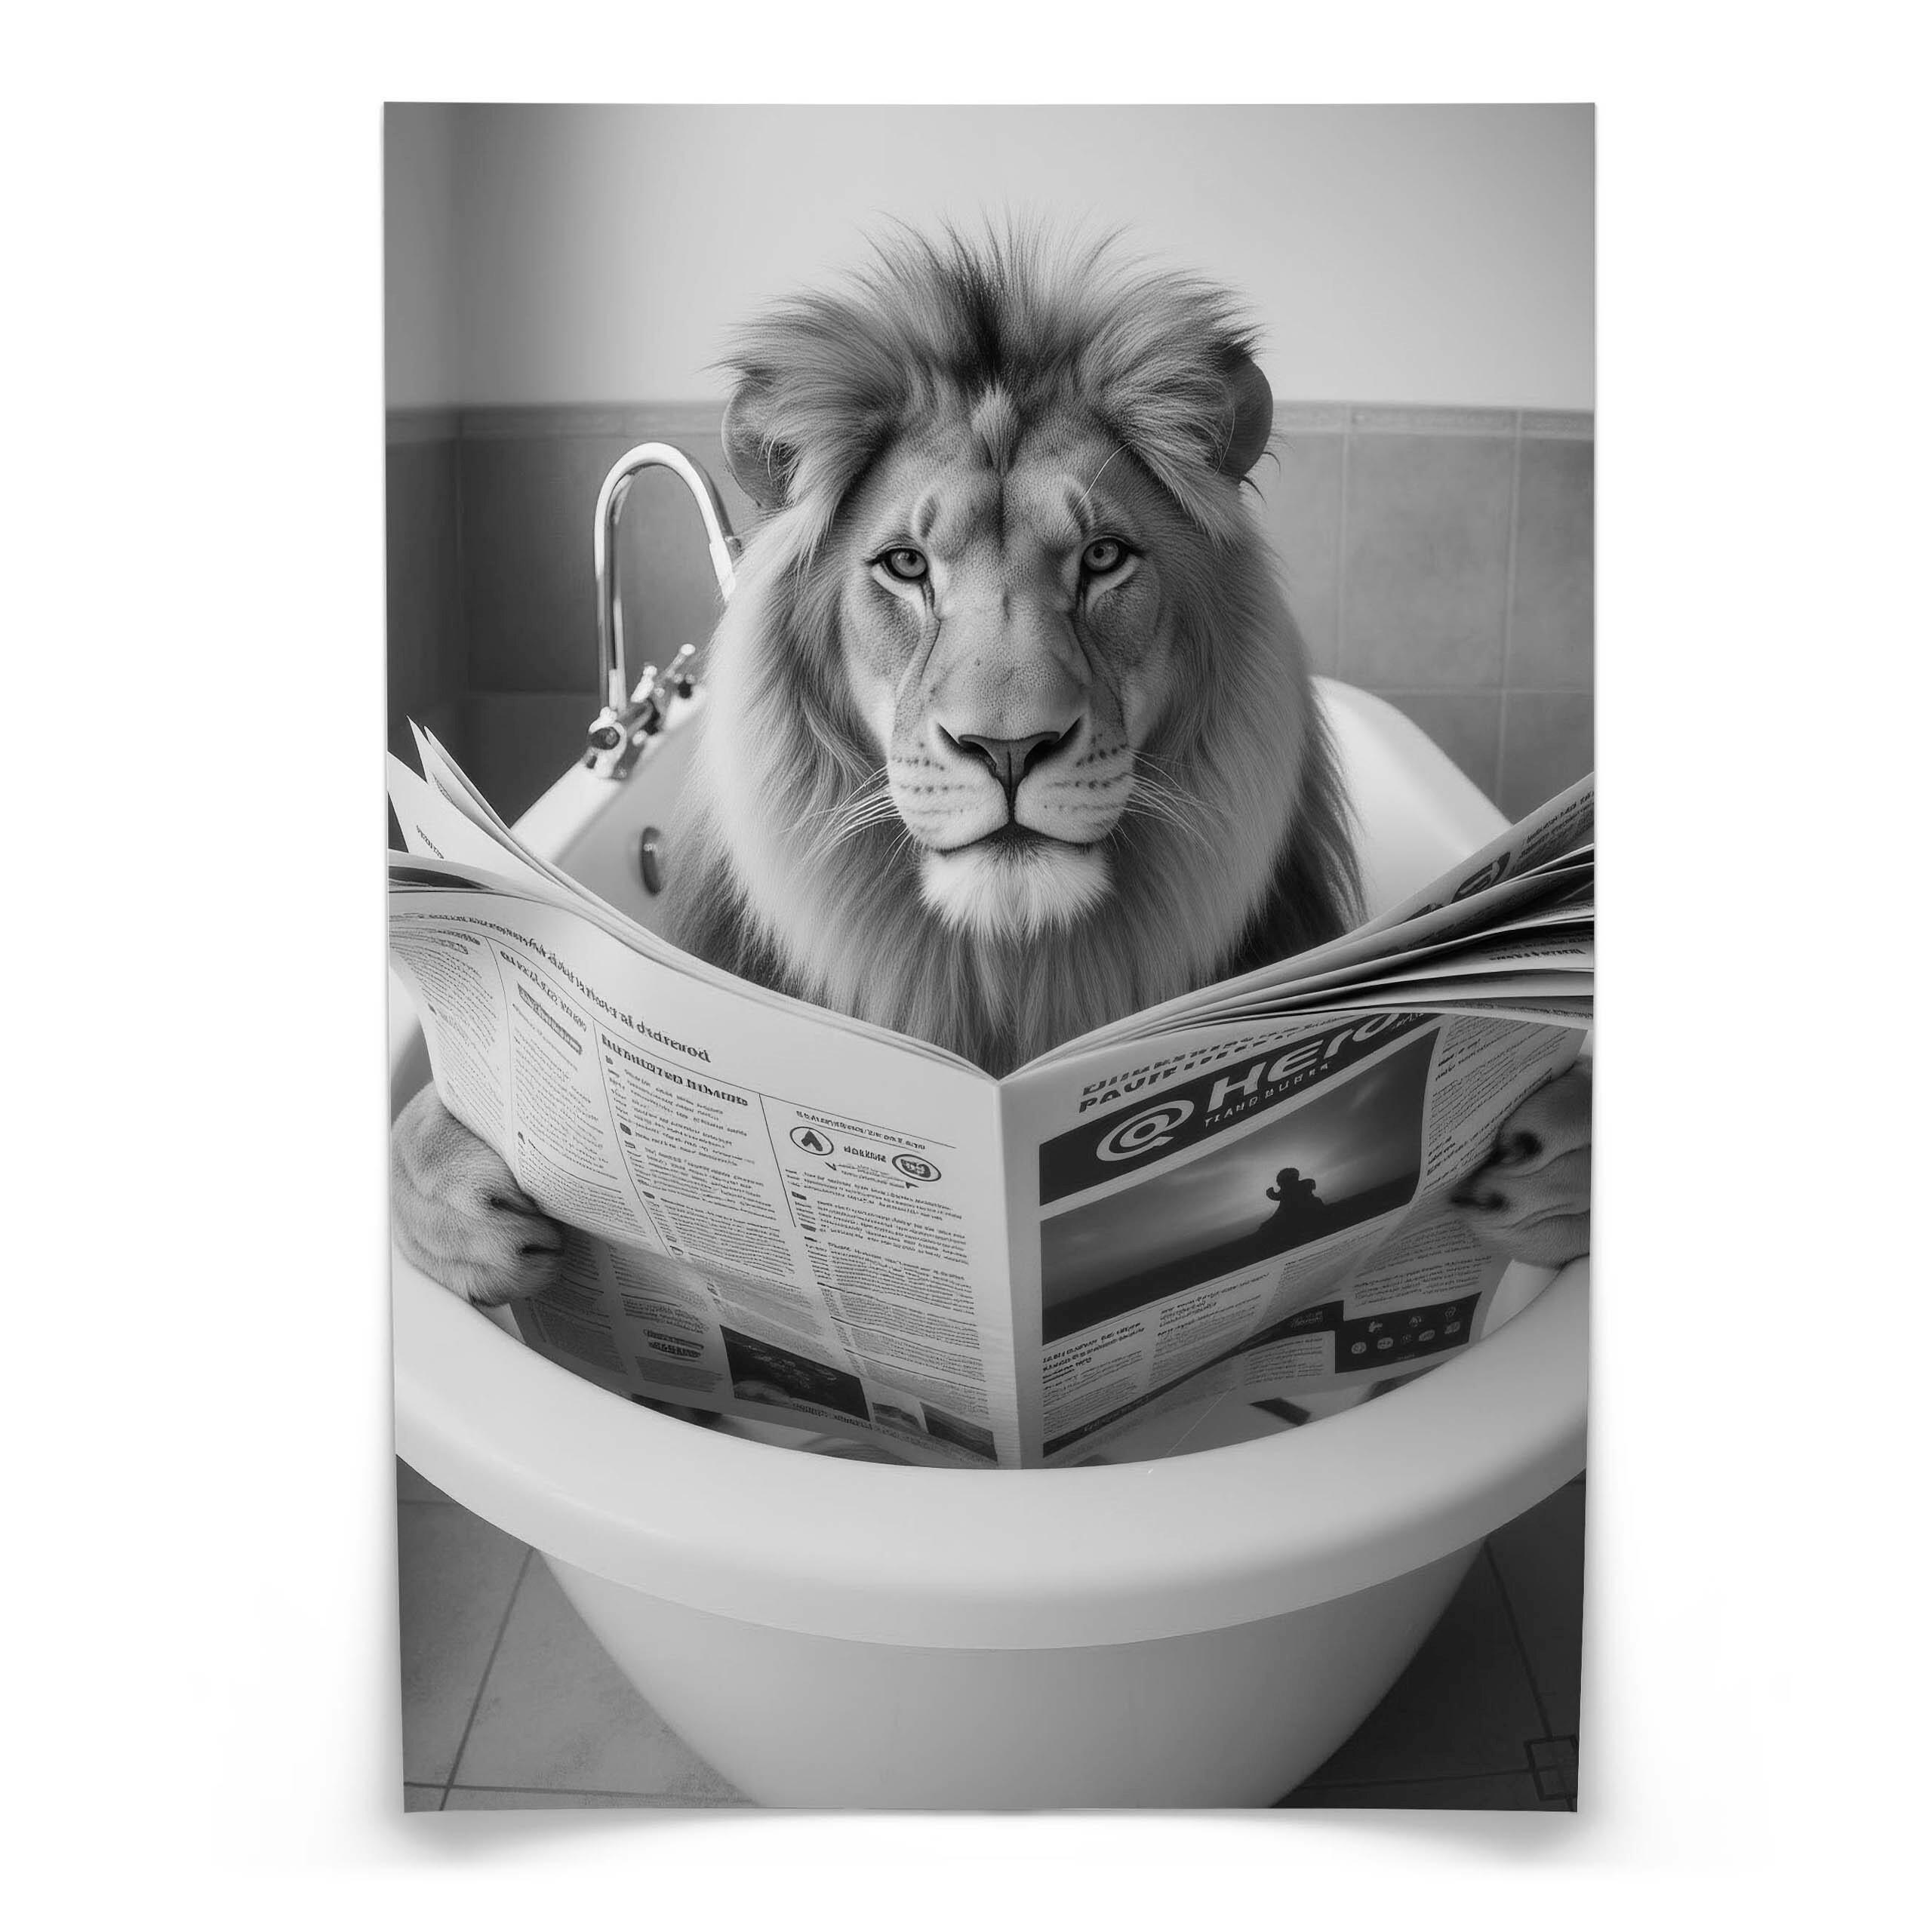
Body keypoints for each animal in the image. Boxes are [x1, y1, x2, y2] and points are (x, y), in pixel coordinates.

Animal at [391, 228, 1591, 1311]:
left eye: (1104, 557)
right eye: (905, 566)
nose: (1008, 747)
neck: (1007, 976)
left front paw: (1544, 1153)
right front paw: (474, 1201)